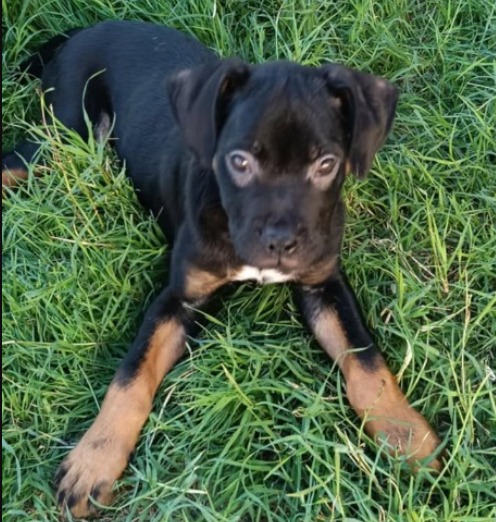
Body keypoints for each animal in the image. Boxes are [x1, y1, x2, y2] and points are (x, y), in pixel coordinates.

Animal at [2, 20, 443, 517]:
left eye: (327, 164)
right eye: (239, 162)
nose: (280, 243)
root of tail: (83, 30)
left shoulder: (324, 285)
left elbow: (367, 361)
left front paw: (407, 436)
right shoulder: (177, 300)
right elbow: (130, 377)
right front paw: (93, 461)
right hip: (61, 134)